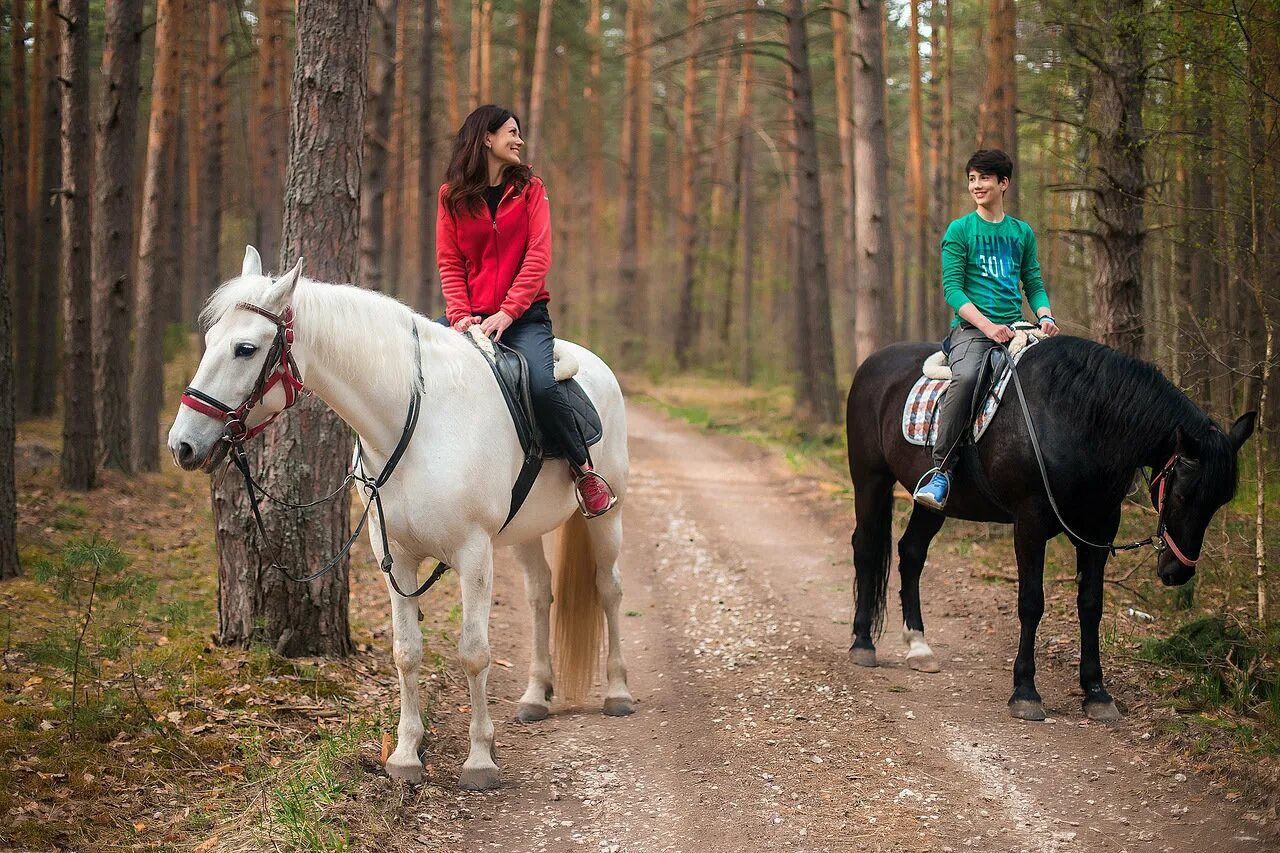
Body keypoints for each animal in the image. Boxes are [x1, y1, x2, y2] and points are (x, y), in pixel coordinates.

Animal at [165, 247, 634, 788]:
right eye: (208, 342)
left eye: (245, 348)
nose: (182, 444)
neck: (418, 425)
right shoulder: (396, 555)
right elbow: (406, 652)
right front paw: (407, 754)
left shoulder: (474, 553)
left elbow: (474, 652)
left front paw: (479, 759)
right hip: (524, 532)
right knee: (541, 595)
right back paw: (536, 696)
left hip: (606, 520)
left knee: (608, 588)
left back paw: (618, 692)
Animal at [844, 333, 1254, 717]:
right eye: (1182, 495)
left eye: (1219, 503)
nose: (1177, 572)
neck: (1076, 419)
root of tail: (873, 363)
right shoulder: (1030, 521)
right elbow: (1031, 602)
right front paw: (1025, 691)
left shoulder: (1099, 527)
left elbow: (1091, 604)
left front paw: (1097, 693)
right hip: (870, 480)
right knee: (865, 548)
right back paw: (862, 643)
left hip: (930, 502)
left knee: (911, 553)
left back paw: (919, 647)